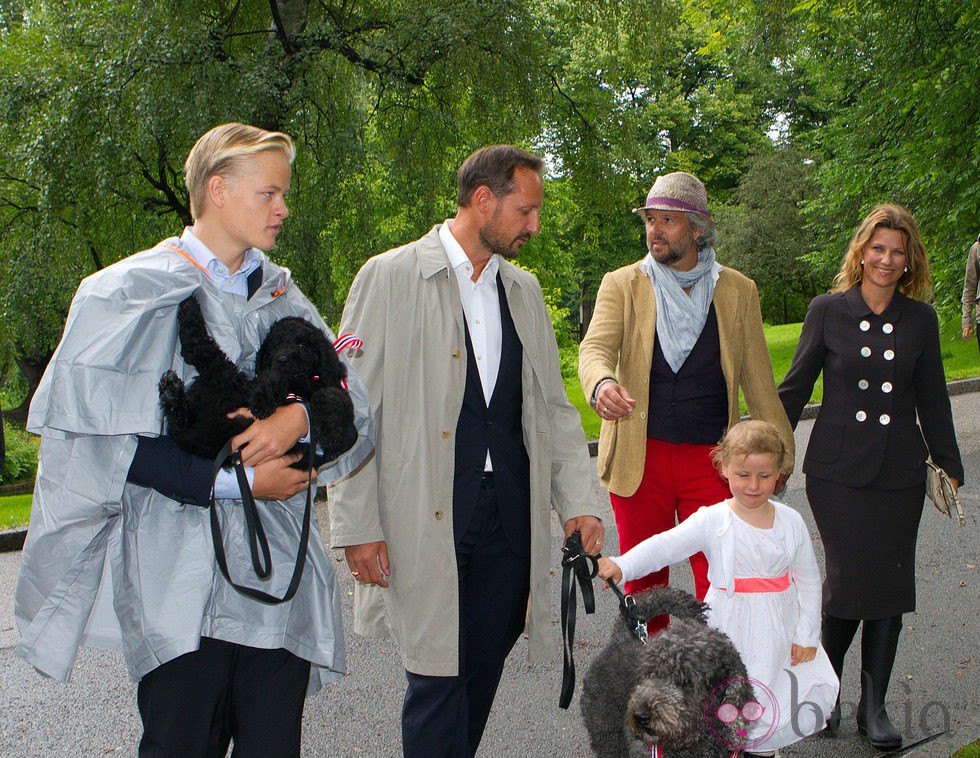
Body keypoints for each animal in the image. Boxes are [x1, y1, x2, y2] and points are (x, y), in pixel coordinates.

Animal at [159, 296, 358, 470]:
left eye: (302, 345)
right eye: (275, 345)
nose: (282, 359)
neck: (297, 386)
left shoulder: (334, 391)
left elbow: (330, 395)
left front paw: (330, 433)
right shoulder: (273, 377)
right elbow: (271, 377)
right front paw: (263, 400)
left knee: (200, 354)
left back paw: (172, 393)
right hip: (227, 382)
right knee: (200, 351)